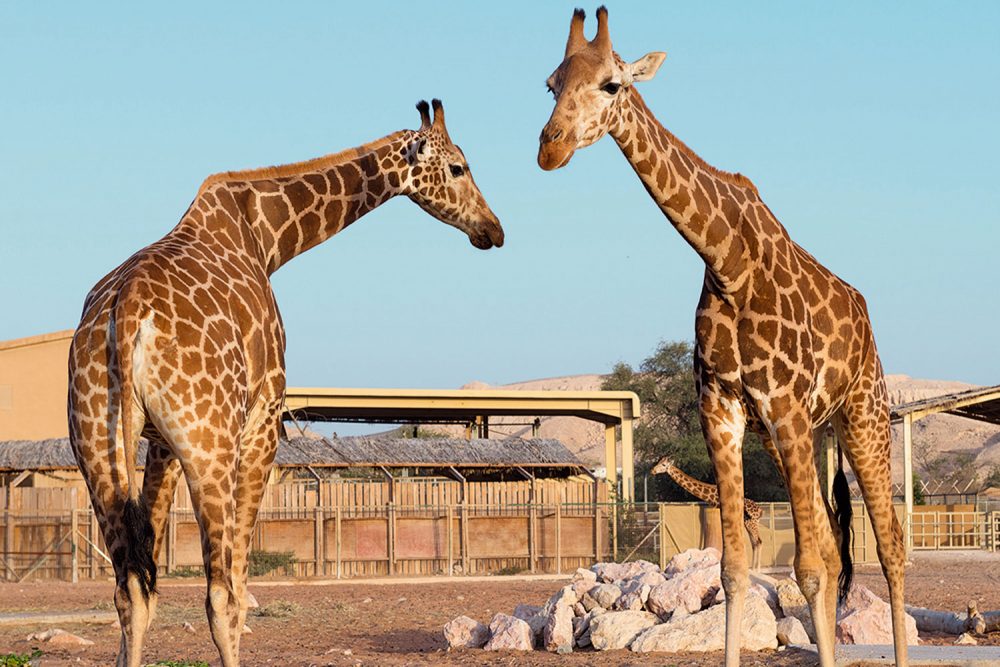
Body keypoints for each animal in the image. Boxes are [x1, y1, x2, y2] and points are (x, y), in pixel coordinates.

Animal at [67, 99, 504, 667]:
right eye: (458, 167)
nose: (494, 229)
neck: (267, 235)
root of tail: (128, 312)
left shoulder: (160, 444)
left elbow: (150, 589)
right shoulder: (264, 421)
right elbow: (236, 588)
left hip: (96, 447)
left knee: (131, 590)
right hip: (209, 445)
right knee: (220, 593)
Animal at [540, 7, 908, 664]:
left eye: (612, 84)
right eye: (550, 85)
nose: (549, 147)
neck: (727, 261)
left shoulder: (783, 406)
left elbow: (808, 569)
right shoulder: (723, 407)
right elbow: (734, 568)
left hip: (862, 415)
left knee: (888, 546)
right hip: (809, 434)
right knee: (836, 542)